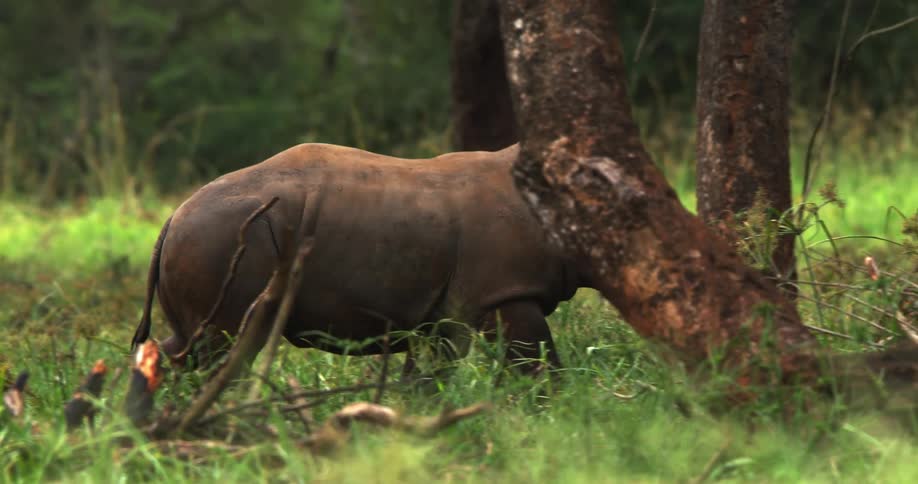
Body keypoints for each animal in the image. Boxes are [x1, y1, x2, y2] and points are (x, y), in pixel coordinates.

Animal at [130, 143, 589, 374]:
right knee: (222, 344)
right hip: (224, 235)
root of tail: (172, 216)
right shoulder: (507, 290)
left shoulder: (445, 310)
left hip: (215, 234)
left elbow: (431, 373)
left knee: (190, 343)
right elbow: (538, 362)